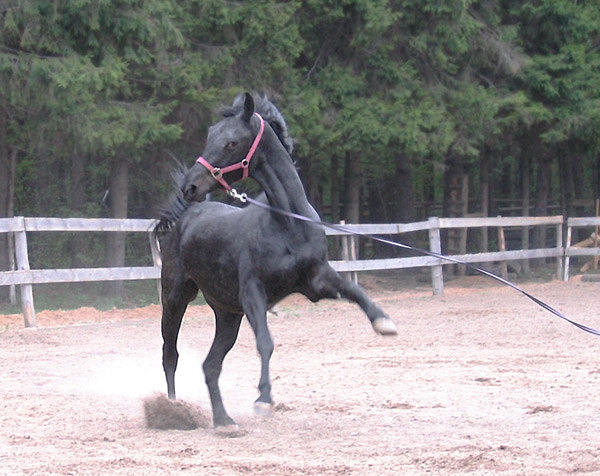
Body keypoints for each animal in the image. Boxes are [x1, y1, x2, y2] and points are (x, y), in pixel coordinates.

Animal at [156, 93, 398, 428]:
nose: (191, 186)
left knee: (210, 365)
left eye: (231, 142)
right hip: (176, 297)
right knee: (171, 354)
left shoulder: (315, 281)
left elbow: (354, 290)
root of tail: (187, 214)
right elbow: (265, 342)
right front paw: (264, 399)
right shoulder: (253, 292)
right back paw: (171, 408)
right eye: (209, 136)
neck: (288, 225)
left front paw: (383, 322)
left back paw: (224, 420)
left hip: (228, 315)